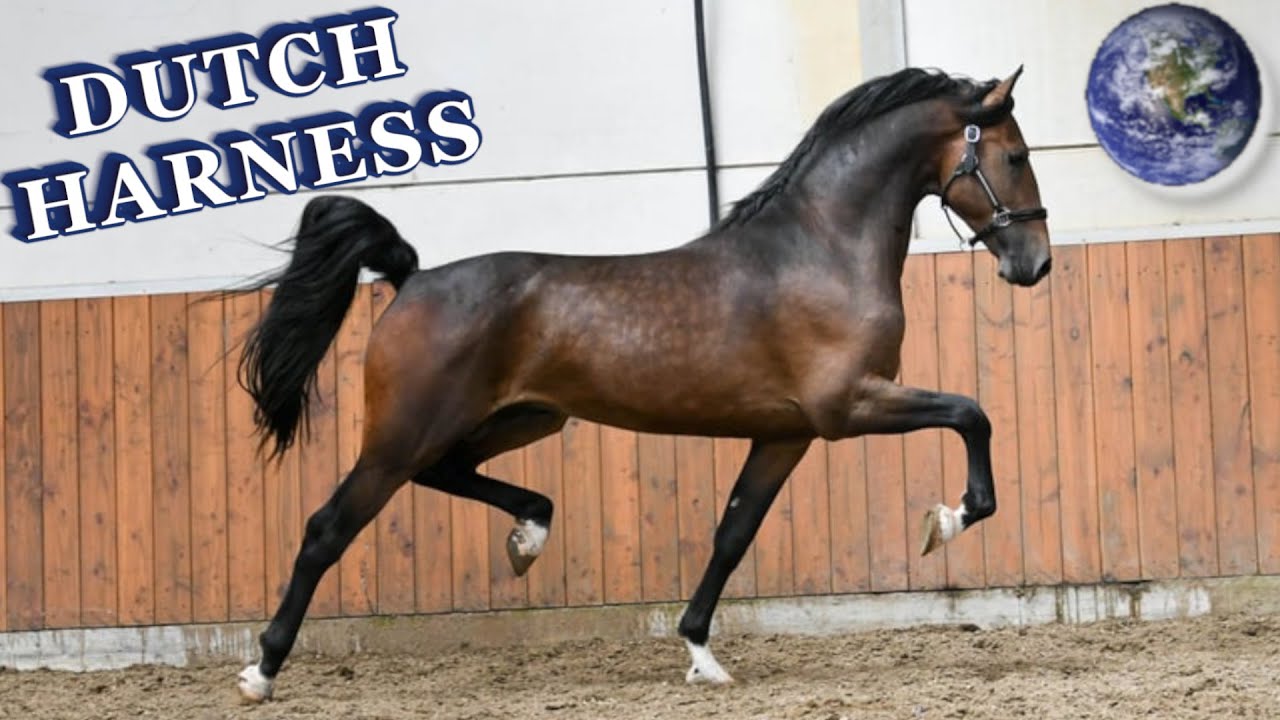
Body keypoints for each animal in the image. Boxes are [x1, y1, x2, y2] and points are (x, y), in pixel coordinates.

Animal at [231, 65, 1051, 702]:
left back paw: (529, 535)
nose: (1035, 263)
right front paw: (946, 521)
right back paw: (260, 674)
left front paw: (701, 656)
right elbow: (972, 414)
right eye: (1014, 155)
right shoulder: (847, 405)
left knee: (450, 474)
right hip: (402, 437)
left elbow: (733, 534)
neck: (819, 249)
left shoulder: (786, 433)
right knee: (325, 530)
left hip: (518, 419)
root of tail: (411, 277)